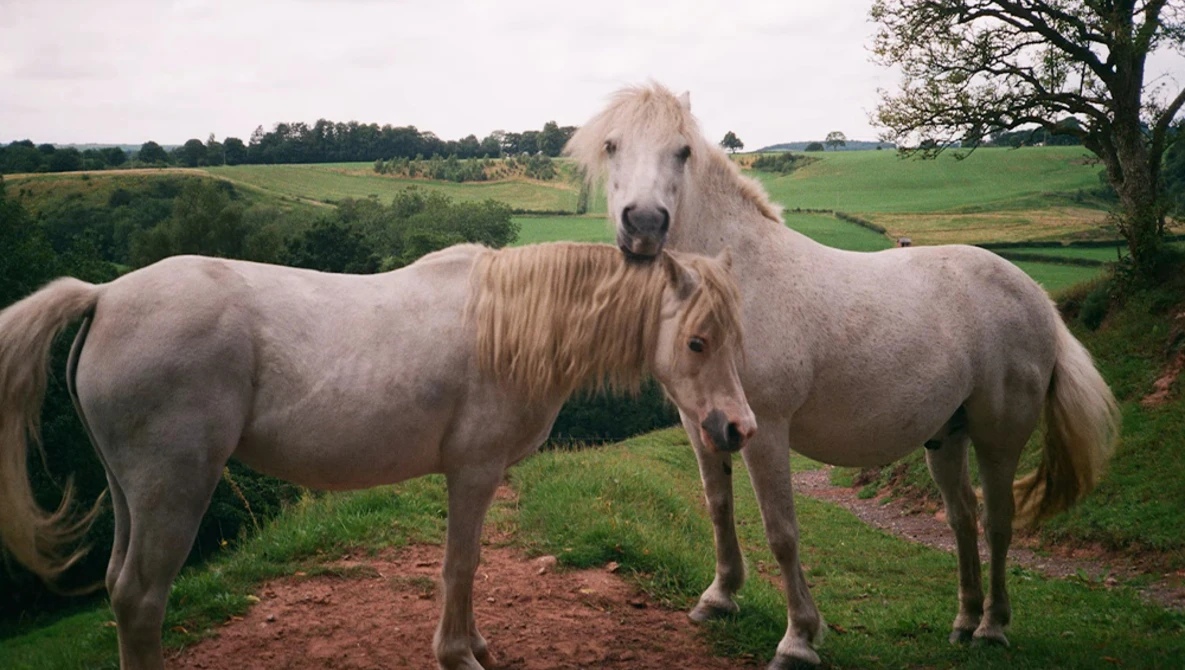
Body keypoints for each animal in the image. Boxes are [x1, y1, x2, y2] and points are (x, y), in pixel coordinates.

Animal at [0, 241, 755, 670]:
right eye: (696, 341)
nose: (736, 428)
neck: (511, 323)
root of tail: (104, 297)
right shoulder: (474, 472)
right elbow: (459, 565)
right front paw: (457, 655)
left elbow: (466, 566)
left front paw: (475, 646)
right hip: (174, 489)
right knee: (140, 597)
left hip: (133, 492)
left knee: (119, 585)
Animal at [566, 84, 1119, 668]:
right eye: (612, 146)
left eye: (682, 151)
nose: (645, 226)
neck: (732, 290)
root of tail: (1036, 295)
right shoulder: (702, 424)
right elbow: (718, 507)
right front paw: (718, 598)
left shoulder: (764, 429)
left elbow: (781, 531)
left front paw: (798, 639)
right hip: (947, 436)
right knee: (963, 517)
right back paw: (965, 621)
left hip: (999, 435)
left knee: (997, 520)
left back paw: (992, 627)